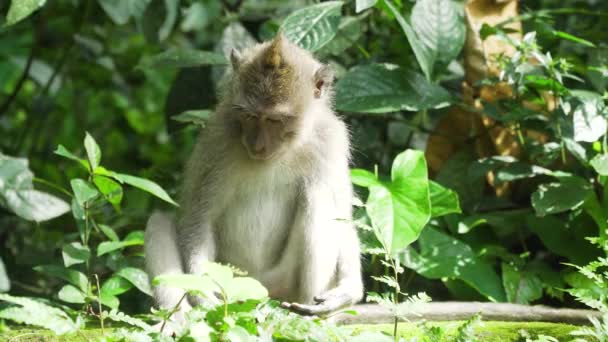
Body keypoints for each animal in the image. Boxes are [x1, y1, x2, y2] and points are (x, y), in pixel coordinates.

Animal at [145, 33, 364, 320]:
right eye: (249, 115)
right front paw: (202, 294)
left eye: (275, 120)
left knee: (317, 194)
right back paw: (181, 320)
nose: (257, 145)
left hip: (280, 283)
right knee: (158, 222)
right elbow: (198, 219)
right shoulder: (217, 140)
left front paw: (350, 289)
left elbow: (343, 216)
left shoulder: (331, 139)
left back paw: (307, 315)